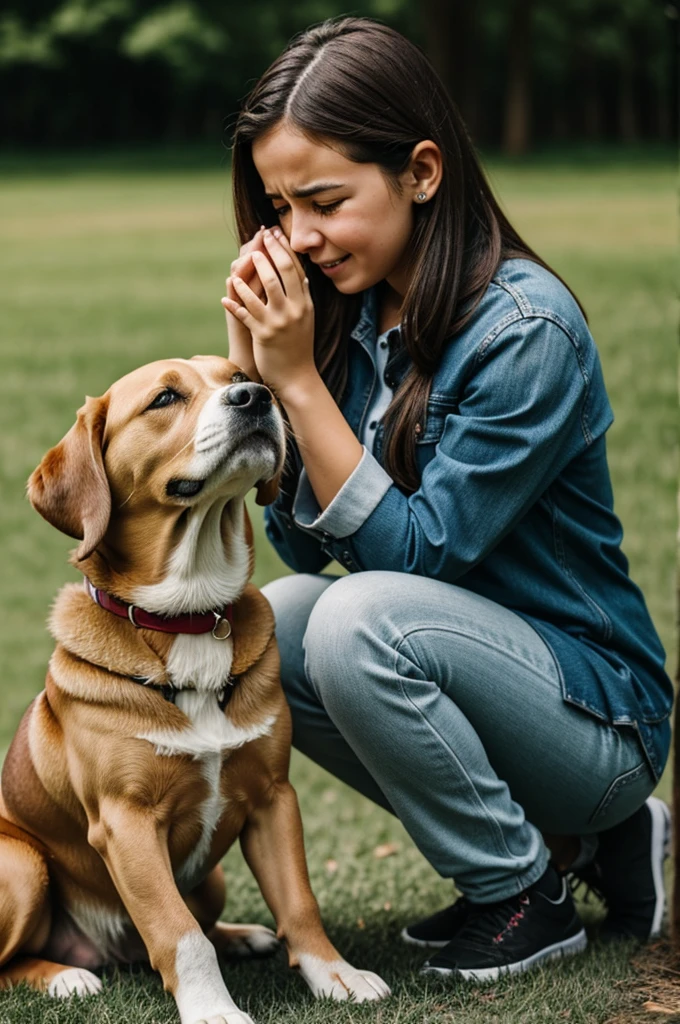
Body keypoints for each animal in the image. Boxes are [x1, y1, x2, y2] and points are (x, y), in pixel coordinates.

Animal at [0, 354, 387, 1024]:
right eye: (164, 398)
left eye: (237, 373)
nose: (256, 396)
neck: (190, 615)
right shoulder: (126, 822)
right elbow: (176, 933)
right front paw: (213, 1010)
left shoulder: (273, 797)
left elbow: (299, 902)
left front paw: (336, 975)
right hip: (20, 866)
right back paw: (64, 976)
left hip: (213, 877)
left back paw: (240, 935)